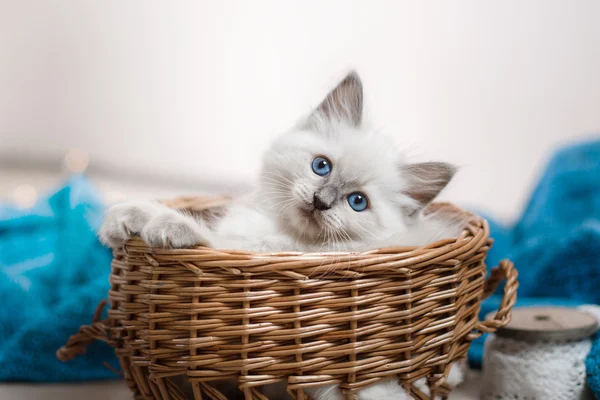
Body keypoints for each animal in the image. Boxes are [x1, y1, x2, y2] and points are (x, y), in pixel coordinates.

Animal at [98, 72, 466, 400]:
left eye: (357, 202)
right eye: (321, 166)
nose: (321, 201)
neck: (280, 230)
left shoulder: (239, 252)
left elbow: (198, 233)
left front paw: (165, 226)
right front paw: (123, 219)